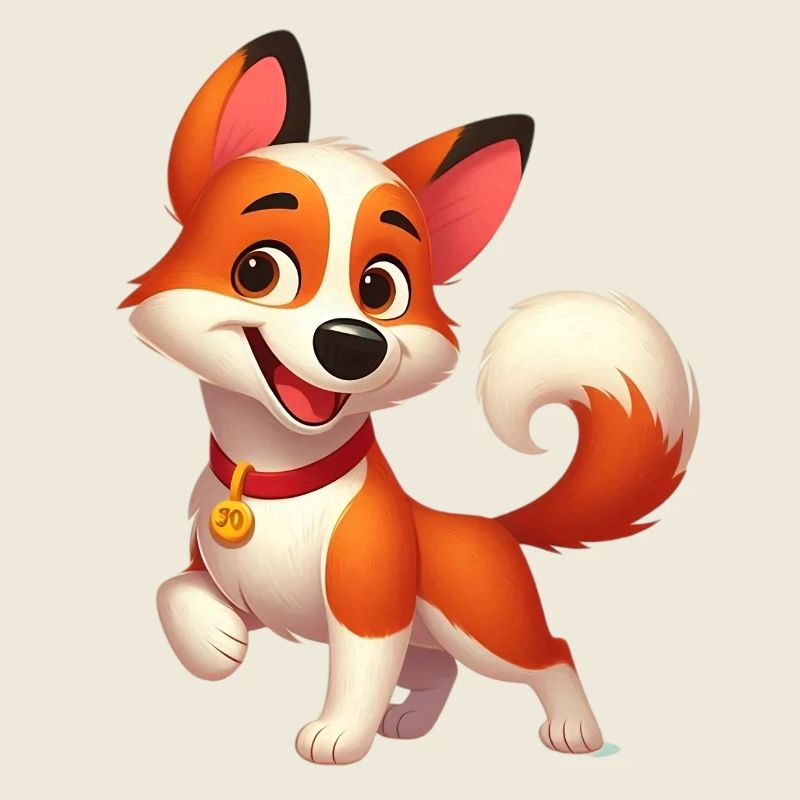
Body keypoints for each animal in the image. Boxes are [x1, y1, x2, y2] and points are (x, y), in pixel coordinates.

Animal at [121, 30, 699, 765]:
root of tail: (492, 525)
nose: (352, 343)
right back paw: (414, 723)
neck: (279, 478)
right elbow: (173, 588)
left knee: (552, 653)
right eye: (258, 269)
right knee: (438, 669)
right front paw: (215, 644)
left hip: (481, 623)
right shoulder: (221, 570)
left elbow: (360, 674)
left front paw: (339, 733)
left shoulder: (372, 607)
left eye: (381, 287)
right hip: (437, 639)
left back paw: (575, 730)